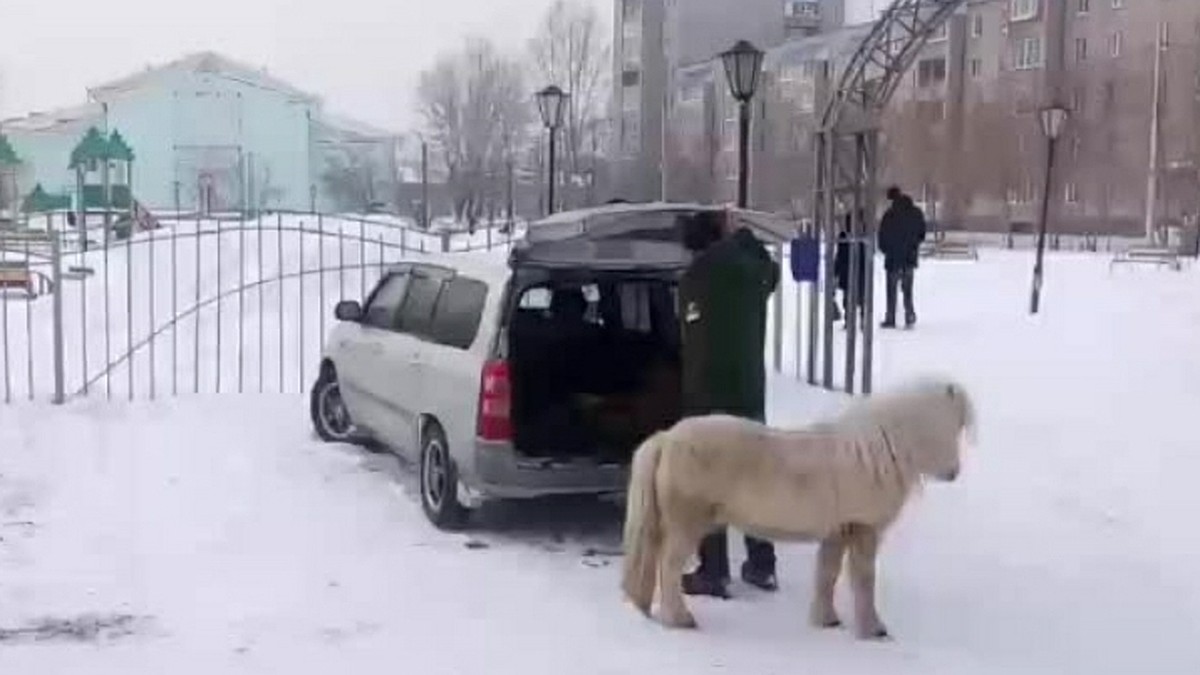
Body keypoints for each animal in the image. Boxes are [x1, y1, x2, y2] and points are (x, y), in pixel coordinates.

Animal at [619, 379, 974, 634]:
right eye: (949, 425)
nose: (954, 472)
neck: (875, 455)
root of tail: (666, 438)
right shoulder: (864, 529)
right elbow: (863, 579)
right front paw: (873, 629)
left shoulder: (838, 531)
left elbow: (827, 574)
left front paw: (826, 619)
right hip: (685, 524)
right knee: (668, 567)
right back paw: (679, 619)